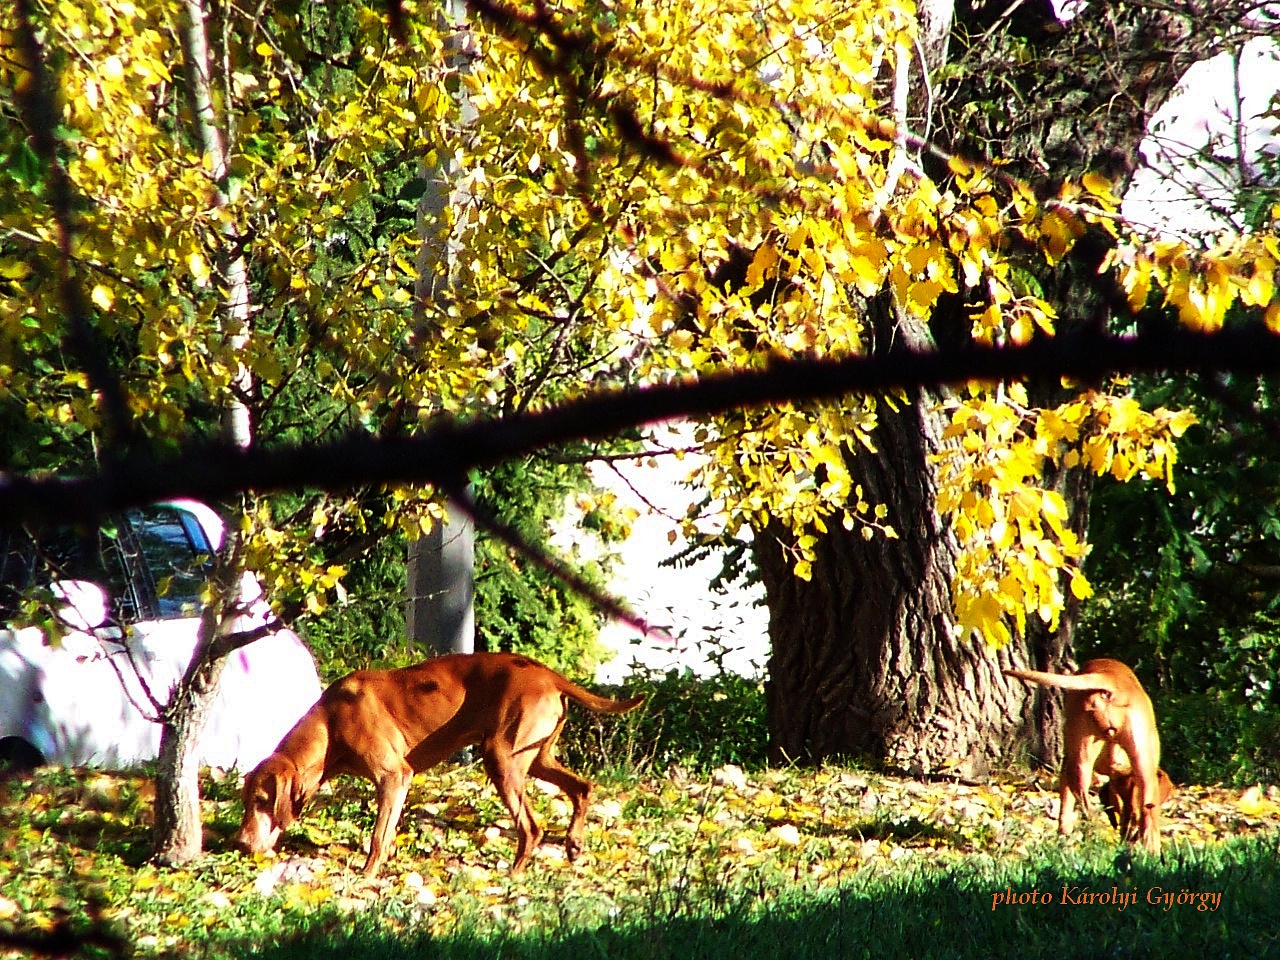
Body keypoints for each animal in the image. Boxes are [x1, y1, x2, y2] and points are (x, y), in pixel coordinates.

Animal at [232, 655, 640, 880]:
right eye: (247, 802)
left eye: (263, 801)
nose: (240, 844)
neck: (330, 721)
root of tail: (547, 674)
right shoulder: (396, 783)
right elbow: (388, 832)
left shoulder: (394, 776)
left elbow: (377, 837)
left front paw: (367, 875)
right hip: (537, 758)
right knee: (582, 787)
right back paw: (574, 845)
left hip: (500, 758)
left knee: (532, 828)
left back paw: (515, 873)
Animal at [1003, 660, 1167, 855]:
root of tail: (1109, 680)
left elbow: (1065, 810)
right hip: (1141, 766)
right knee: (1146, 814)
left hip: (1082, 757)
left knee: (1086, 804)